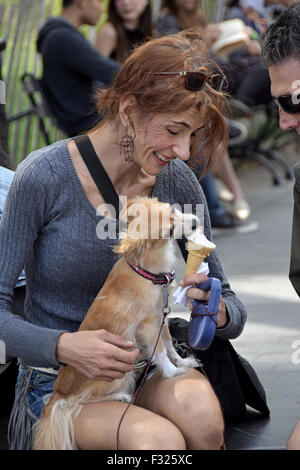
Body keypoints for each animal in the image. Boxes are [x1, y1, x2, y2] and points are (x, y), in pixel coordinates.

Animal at [33, 196, 199, 450]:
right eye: (168, 231)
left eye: (173, 210)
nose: (195, 222)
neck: (147, 271)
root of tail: (58, 394)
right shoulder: (148, 327)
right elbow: (160, 351)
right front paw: (172, 371)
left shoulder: (161, 318)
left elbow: (170, 345)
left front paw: (182, 361)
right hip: (116, 376)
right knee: (80, 402)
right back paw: (119, 397)